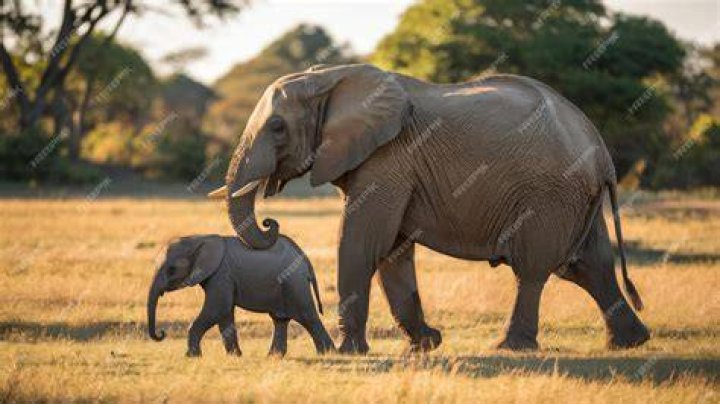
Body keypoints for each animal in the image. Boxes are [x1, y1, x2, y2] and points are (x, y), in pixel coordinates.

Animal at [147, 234, 335, 357]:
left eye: (171, 270)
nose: (161, 333)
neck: (197, 239)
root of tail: (305, 261)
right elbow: (224, 314)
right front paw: (235, 356)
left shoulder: (221, 274)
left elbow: (218, 309)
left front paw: (192, 356)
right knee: (280, 319)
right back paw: (273, 357)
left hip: (295, 284)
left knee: (308, 317)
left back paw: (327, 354)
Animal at [207, 63, 649, 354]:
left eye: (277, 127)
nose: (271, 223)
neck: (329, 78)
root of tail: (602, 153)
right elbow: (393, 250)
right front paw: (426, 345)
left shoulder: (388, 158)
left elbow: (363, 242)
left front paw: (349, 351)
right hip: (575, 197)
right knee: (592, 265)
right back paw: (630, 343)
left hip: (549, 194)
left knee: (535, 269)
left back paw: (510, 347)